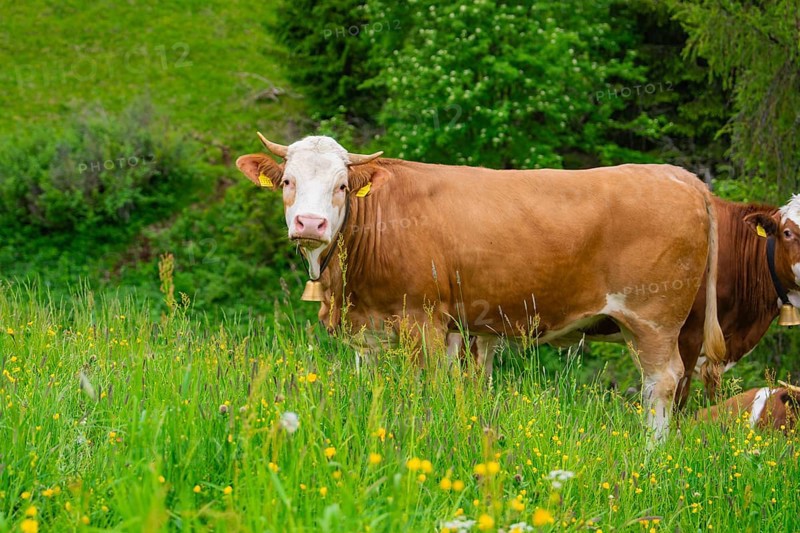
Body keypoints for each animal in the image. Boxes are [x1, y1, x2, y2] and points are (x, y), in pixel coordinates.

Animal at [236, 134, 726, 440]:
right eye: (287, 181)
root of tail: (683, 177)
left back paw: (650, 457)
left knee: (660, 384)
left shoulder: (422, 320)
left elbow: (428, 387)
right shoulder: (372, 331)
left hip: (653, 319)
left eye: (341, 186)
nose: (310, 223)